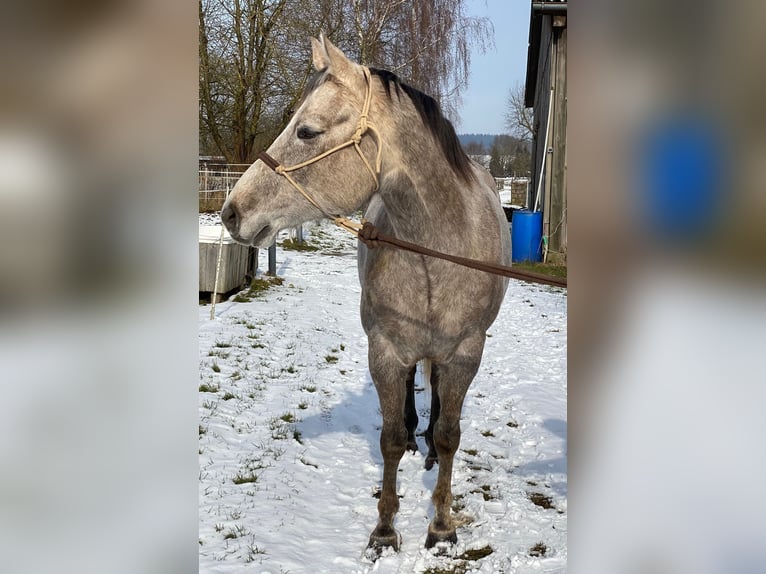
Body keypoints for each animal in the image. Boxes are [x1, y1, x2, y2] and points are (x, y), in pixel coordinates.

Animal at [221, 35, 511, 555]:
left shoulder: (465, 353)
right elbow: (391, 438)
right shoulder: (386, 350)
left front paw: (441, 525)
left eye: (307, 131)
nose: (231, 212)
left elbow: (450, 435)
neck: (437, 249)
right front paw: (385, 529)